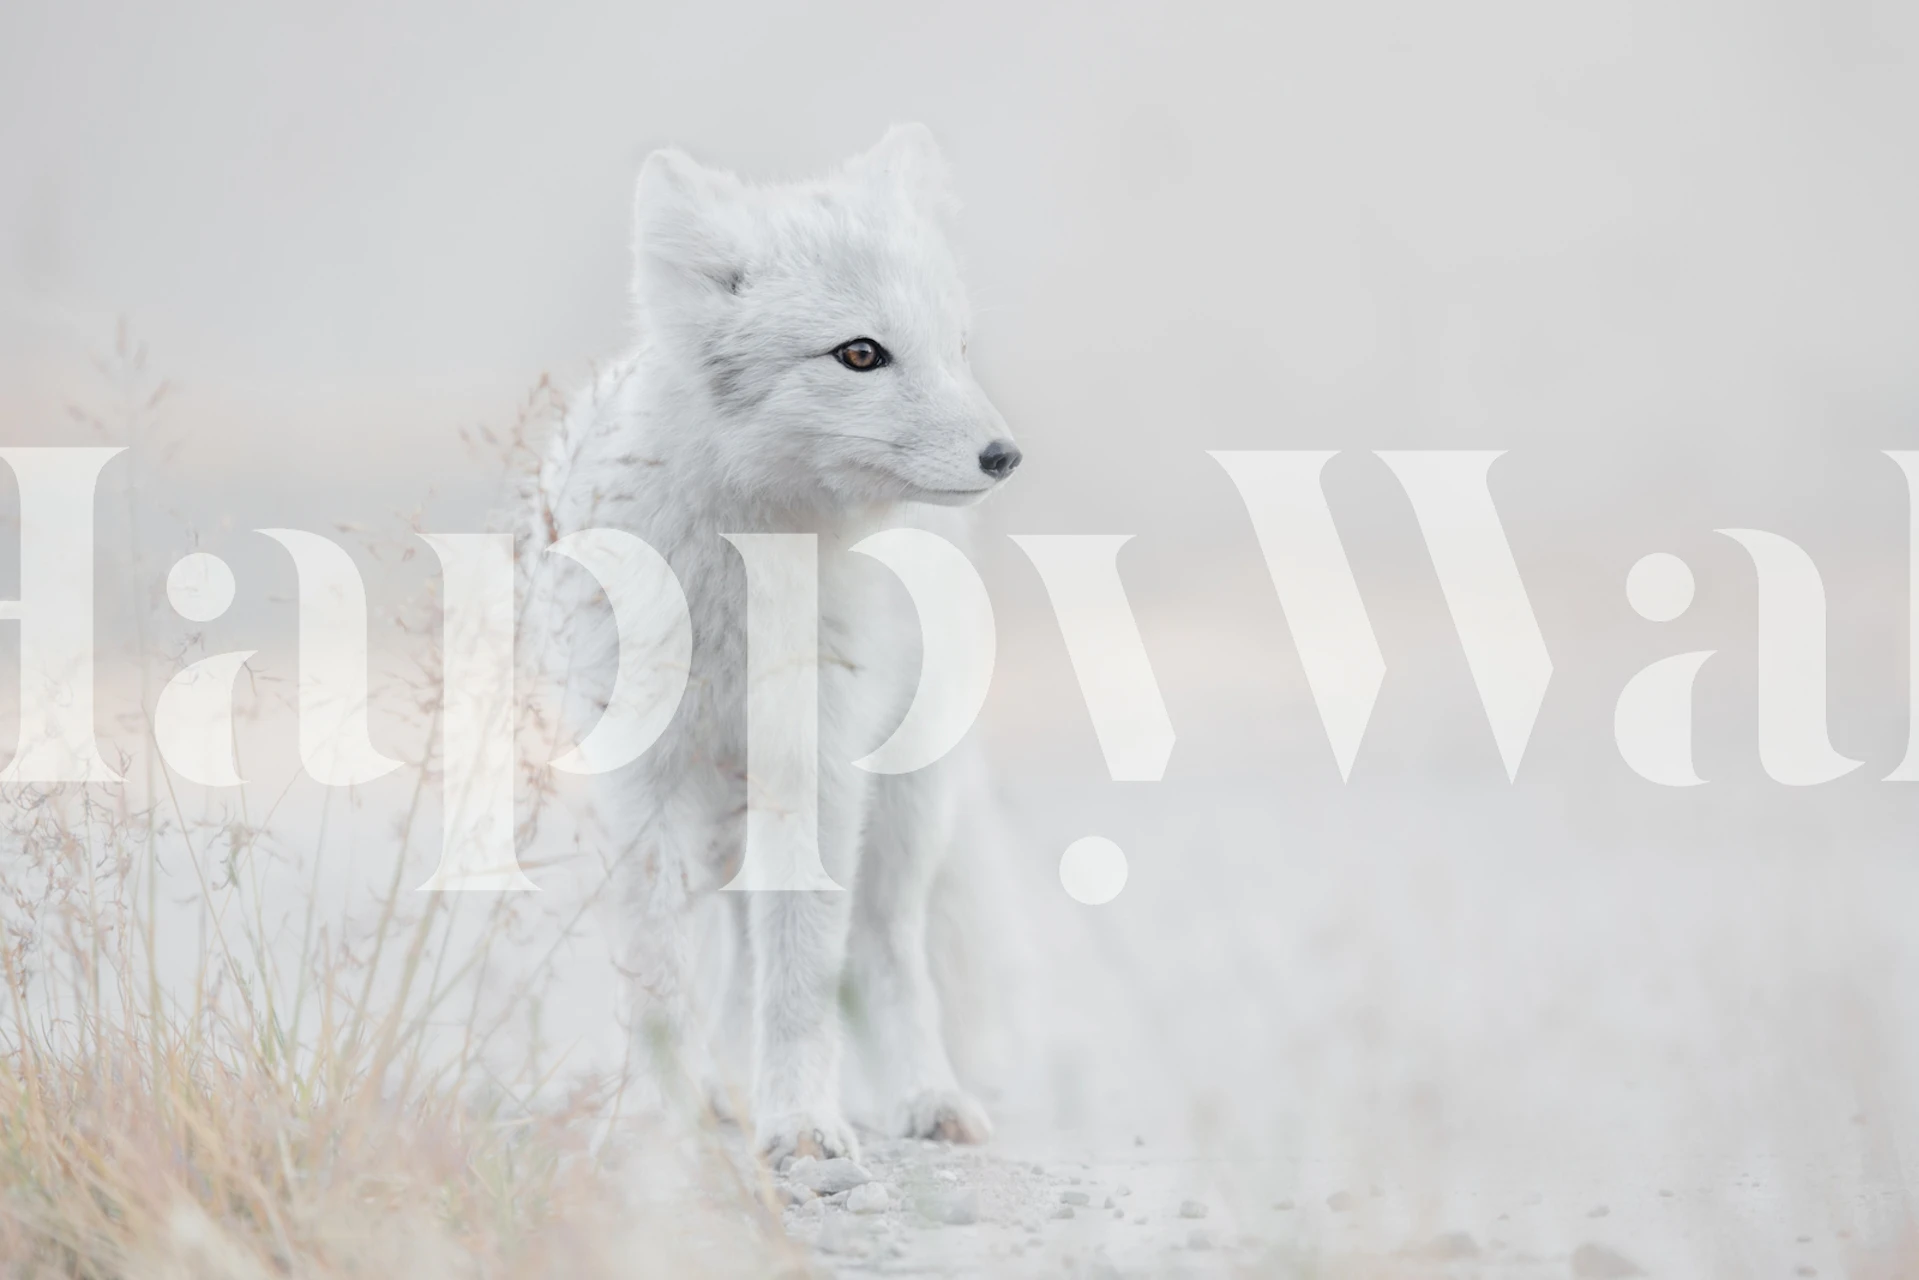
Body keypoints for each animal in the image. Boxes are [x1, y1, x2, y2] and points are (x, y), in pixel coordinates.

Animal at [525, 125, 1019, 1163]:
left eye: (957, 346)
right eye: (860, 353)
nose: (1004, 455)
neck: (744, 588)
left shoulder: (815, 769)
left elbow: (800, 980)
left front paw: (800, 1126)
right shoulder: (642, 790)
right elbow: (658, 973)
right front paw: (660, 1120)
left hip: (899, 815)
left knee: (884, 954)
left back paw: (925, 1098)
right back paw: (719, 1094)